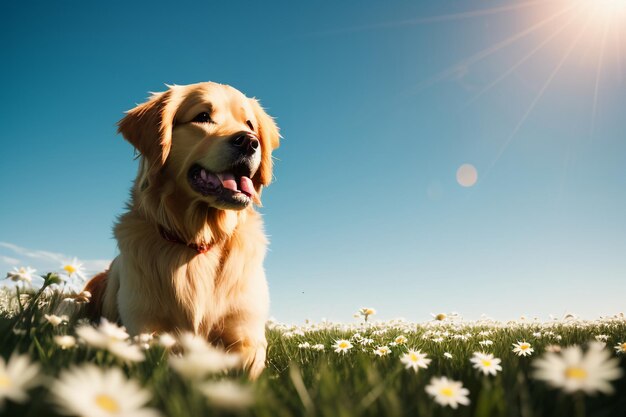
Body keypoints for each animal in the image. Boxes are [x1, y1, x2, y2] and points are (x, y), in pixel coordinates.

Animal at [84, 80, 280, 376]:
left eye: (249, 124)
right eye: (203, 116)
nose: (249, 141)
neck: (197, 241)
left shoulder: (247, 335)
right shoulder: (144, 328)